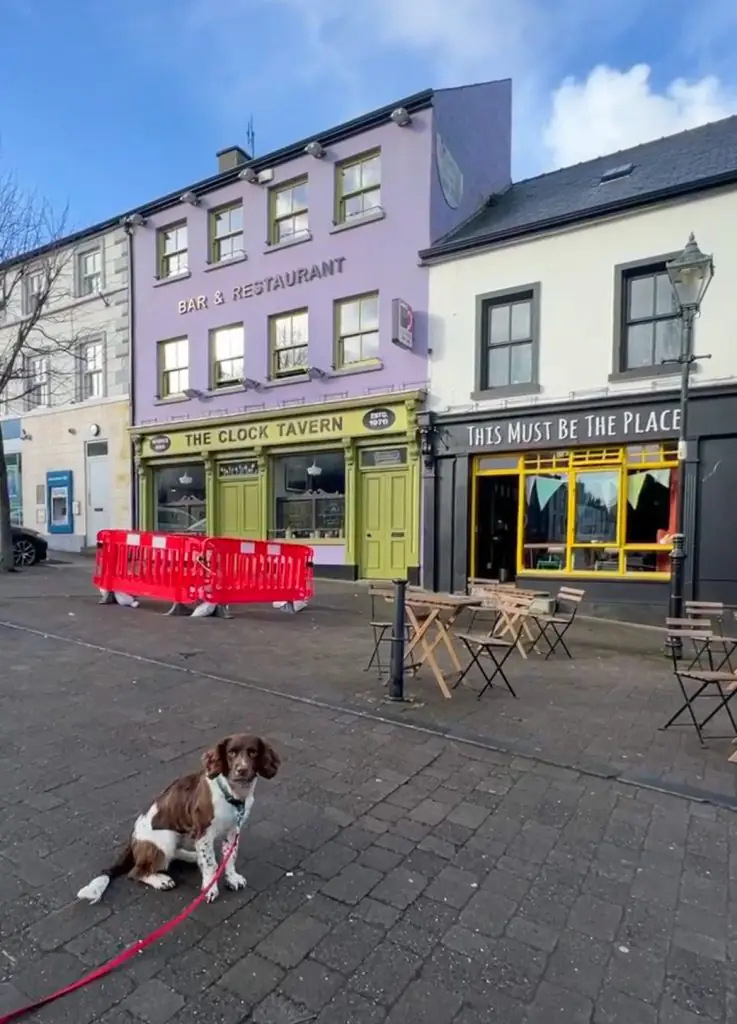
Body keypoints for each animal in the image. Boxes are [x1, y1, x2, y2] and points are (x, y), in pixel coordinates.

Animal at [76, 737, 278, 905]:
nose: (241, 770)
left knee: (174, 854)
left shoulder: (233, 829)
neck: (232, 793)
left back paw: (192, 857)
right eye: (231, 753)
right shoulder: (203, 832)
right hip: (165, 838)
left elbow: (231, 855)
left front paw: (232, 878)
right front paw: (210, 889)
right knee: (136, 872)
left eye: (253, 752)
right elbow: (211, 864)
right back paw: (161, 880)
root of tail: (133, 839)